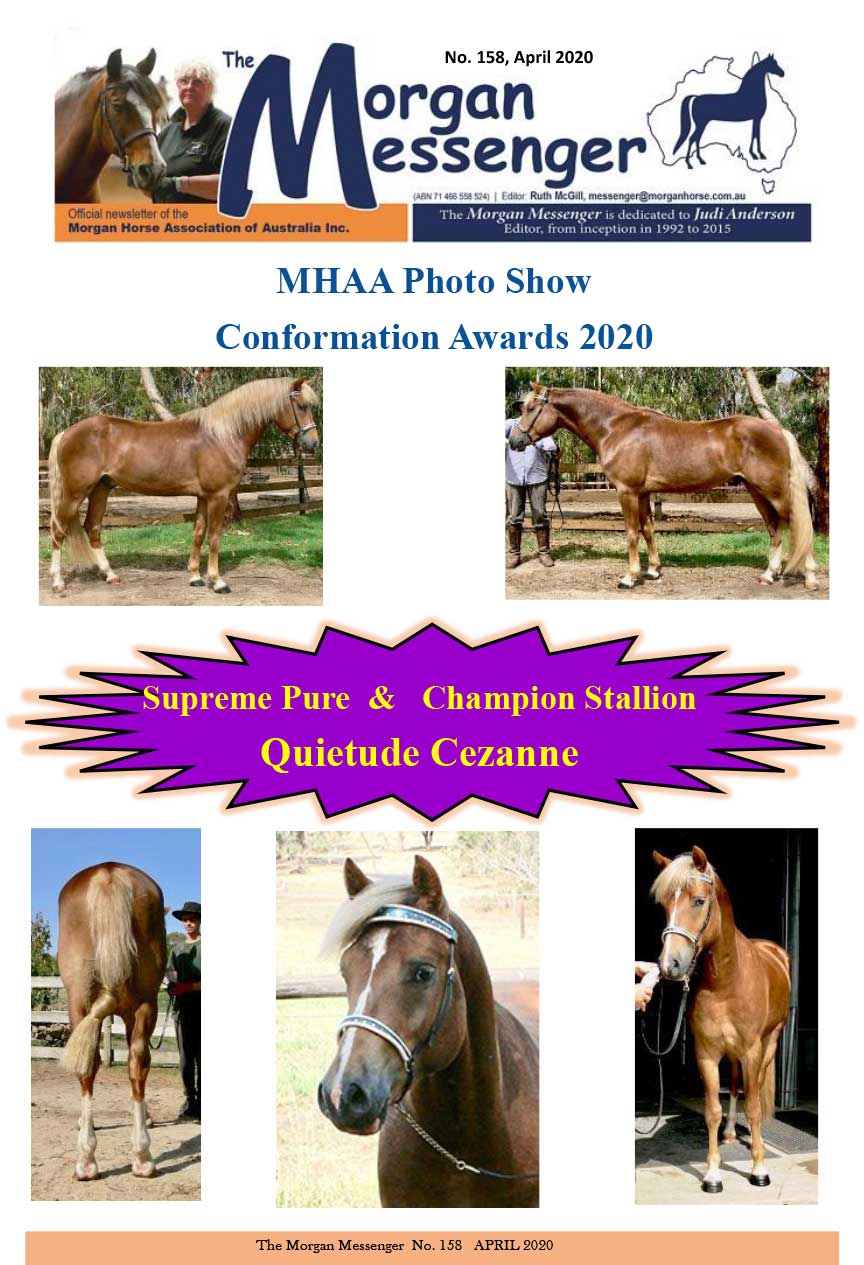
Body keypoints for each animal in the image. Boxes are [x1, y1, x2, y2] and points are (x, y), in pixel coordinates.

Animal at [48, 377, 320, 595]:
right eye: (301, 406)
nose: (313, 443)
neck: (222, 435)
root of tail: (66, 432)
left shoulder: (202, 497)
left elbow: (198, 534)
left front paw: (195, 577)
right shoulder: (218, 496)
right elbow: (214, 537)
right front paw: (217, 582)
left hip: (101, 488)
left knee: (92, 527)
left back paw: (110, 575)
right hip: (74, 493)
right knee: (59, 530)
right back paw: (58, 582)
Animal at [58, 862, 167, 1180]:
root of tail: (109, 872)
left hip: (81, 1004)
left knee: (90, 1067)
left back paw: (87, 1160)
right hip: (145, 1005)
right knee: (136, 1061)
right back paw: (141, 1157)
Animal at [510, 383, 817, 592]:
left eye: (531, 409)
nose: (514, 441)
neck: (616, 428)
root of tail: (778, 430)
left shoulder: (627, 492)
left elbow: (632, 533)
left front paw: (629, 577)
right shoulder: (643, 493)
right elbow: (648, 530)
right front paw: (653, 571)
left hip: (775, 492)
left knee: (799, 525)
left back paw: (810, 576)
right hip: (757, 491)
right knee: (775, 528)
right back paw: (768, 575)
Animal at [650, 848, 791, 1193]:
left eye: (699, 901)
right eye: (664, 905)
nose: (669, 965)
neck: (727, 982)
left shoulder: (752, 1051)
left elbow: (753, 1107)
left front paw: (758, 1168)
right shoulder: (707, 1053)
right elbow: (712, 1110)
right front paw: (713, 1174)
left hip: (769, 1043)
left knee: (754, 1089)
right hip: (733, 1054)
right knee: (737, 1085)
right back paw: (728, 1133)